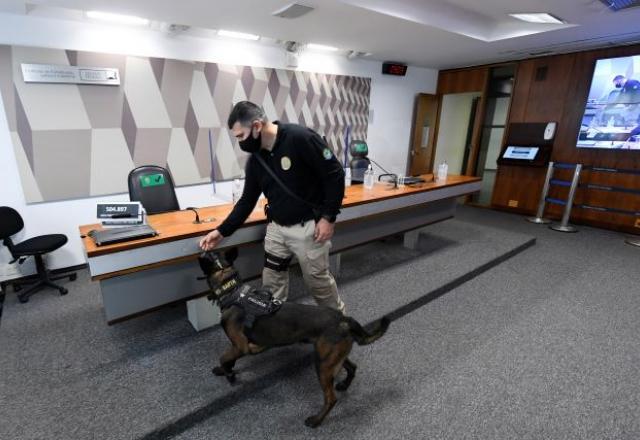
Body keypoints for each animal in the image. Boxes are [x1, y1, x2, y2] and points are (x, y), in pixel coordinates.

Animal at [199, 249, 390, 428]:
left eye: (209, 255)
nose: (203, 248)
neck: (232, 290)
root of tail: (344, 319)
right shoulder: (239, 347)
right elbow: (228, 360)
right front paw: (226, 371)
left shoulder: (241, 346)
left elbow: (223, 358)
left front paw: (229, 375)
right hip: (332, 357)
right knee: (352, 367)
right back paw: (344, 385)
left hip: (323, 365)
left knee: (331, 399)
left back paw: (316, 420)